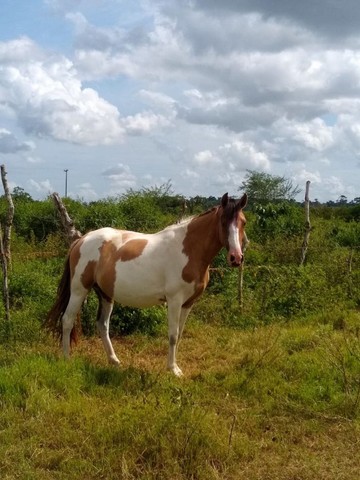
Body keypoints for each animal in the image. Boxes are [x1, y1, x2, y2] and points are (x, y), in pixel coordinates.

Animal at [45, 191, 248, 376]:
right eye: (223, 221)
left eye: (243, 222)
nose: (236, 258)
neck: (189, 249)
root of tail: (81, 240)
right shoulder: (174, 300)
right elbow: (173, 335)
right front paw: (173, 370)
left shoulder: (188, 303)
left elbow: (180, 334)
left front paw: (175, 366)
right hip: (79, 290)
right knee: (67, 320)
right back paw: (67, 358)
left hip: (105, 294)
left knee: (102, 325)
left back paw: (114, 360)